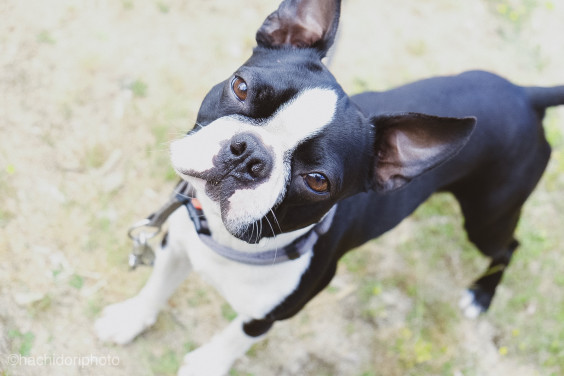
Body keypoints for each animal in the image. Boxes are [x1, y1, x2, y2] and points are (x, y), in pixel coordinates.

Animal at [94, 0, 560, 374]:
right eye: (240, 87)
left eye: (317, 182)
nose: (249, 155)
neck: (233, 244)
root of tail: (526, 94)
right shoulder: (177, 245)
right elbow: (156, 288)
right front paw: (131, 319)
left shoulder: (269, 316)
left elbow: (233, 338)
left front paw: (206, 364)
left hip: (487, 216)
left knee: (508, 246)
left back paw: (481, 296)